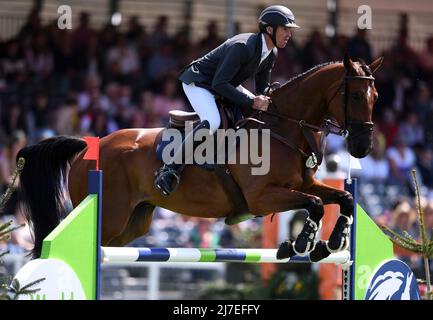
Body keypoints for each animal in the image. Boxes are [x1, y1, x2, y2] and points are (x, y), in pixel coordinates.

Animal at [16, 55, 382, 260]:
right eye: (353, 95)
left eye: (376, 96)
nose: (363, 147)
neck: (282, 127)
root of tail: (88, 146)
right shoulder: (263, 198)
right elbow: (316, 205)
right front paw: (302, 244)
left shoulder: (304, 184)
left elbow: (344, 198)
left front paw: (330, 243)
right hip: (109, 216)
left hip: (132, 223)